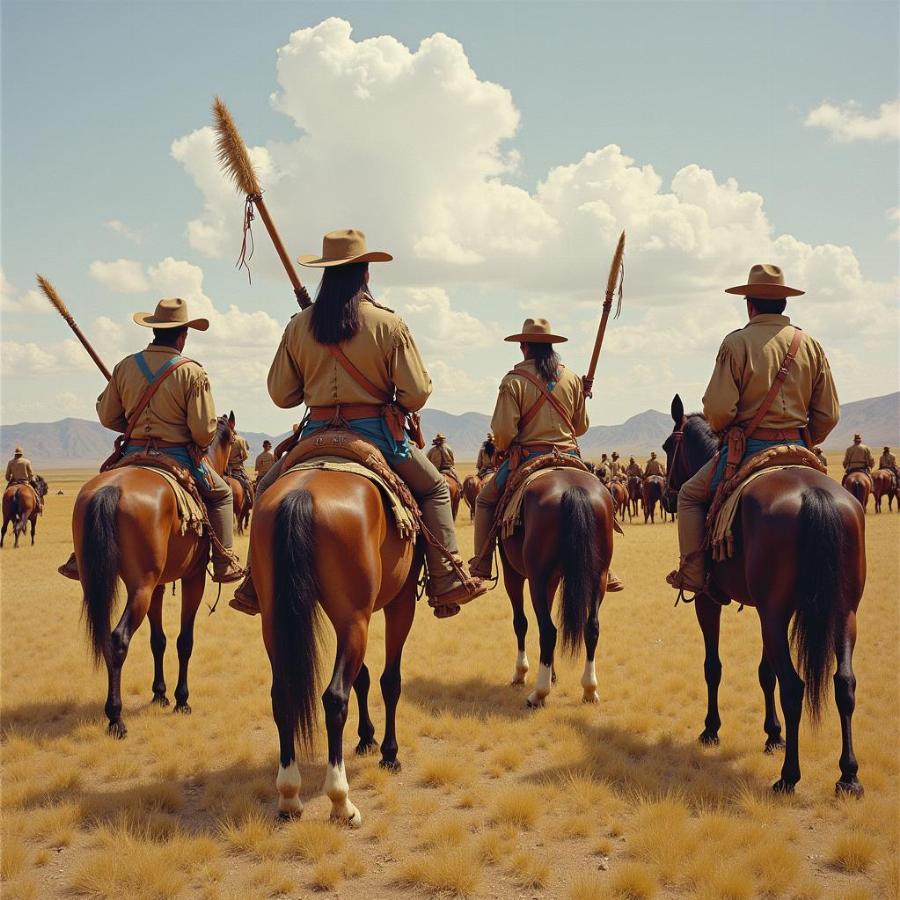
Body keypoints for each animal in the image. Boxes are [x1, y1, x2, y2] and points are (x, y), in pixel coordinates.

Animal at [73, 412, 236, 736]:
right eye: (237, 443)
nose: (237, 471)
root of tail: (111, 489)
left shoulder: (158, 585)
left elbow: (157, 639)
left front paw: (160, 693)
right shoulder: (194, 577)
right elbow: (185, 641)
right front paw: (181, 699)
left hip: (113, 582)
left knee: (109, 638)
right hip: (141, 588)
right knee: (118, 639)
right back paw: (116, 717)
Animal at [250, 442, 422, 824]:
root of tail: (301, 494)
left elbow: (365, 676)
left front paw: (366, 738)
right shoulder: (400, 601)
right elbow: (390, 680)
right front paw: (389, 752)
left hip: (277, 620)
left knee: (282, 694)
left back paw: (289, 796)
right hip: (355, 617)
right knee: (334, 697)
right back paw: (341, 801)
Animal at [496, 468, 616, 708]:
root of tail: (573, 488)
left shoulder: (512, 573)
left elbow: (520, 623)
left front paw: (520, 674)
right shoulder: (552, 580)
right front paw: (553, 674)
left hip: (537, 579)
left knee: (548, 631)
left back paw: (539, 694)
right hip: (598, 576)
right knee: (591, 627)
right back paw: (589, 690)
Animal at [664, 396, 868, 796]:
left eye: (667, 447)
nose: (665, 497)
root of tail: (814, 495)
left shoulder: (710, 601)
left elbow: (713, 666)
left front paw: (711, 729)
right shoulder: (766, 610)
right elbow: (764, 671)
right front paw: (774, 736)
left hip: (776, 616)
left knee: (794, 686)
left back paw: (789, 777)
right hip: (841, 613)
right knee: (844, 683)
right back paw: (848, 775)